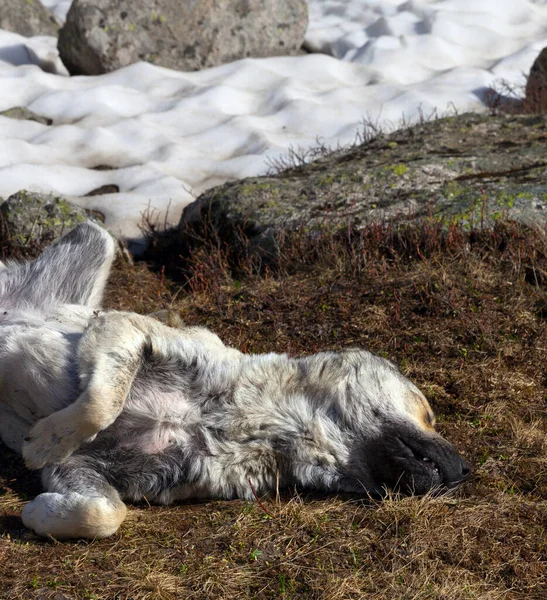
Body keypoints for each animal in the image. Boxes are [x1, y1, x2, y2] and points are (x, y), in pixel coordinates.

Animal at [0, 224, 470, 540]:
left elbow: (102, 515)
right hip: (97, 247)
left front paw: (36, 513)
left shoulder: (84, 470)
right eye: (428, 414)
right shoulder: (121, 330)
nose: (468, 471)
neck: (251, 426)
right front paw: (45, 440)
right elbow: (102, 403)